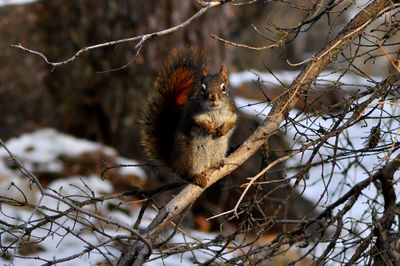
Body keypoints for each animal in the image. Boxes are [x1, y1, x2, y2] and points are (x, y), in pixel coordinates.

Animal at [140, 48, 236, 188]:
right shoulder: (193, 113)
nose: (213, 98)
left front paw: (222, 130)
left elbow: (232, 122)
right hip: (191, 155)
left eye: (223, 88)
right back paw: (197, 177)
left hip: (219, 148)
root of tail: (173, 162)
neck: (214, 110)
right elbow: (198, 122)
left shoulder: (232, 112)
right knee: (187, 174)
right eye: (202, 88)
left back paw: (216, 163)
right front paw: (210, 129)